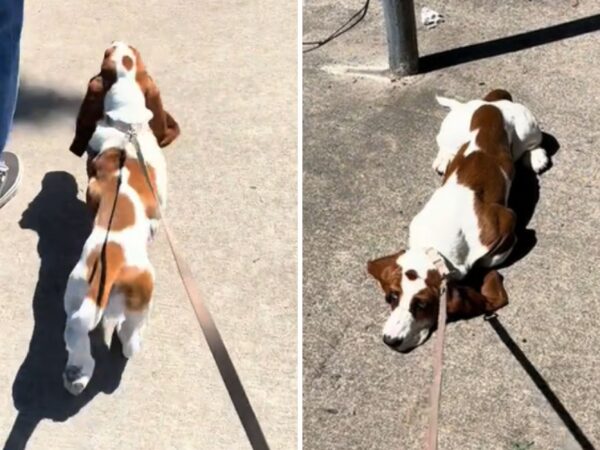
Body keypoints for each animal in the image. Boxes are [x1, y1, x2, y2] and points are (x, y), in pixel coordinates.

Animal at [63, 42, 176, 394]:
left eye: (131, 55)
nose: (119, 43)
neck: (127, 129)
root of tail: (110, 266)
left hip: (74, 298)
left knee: (77, 338)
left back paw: (77, 376)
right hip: (142, 296)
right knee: (128, 334)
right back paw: (131, 345)